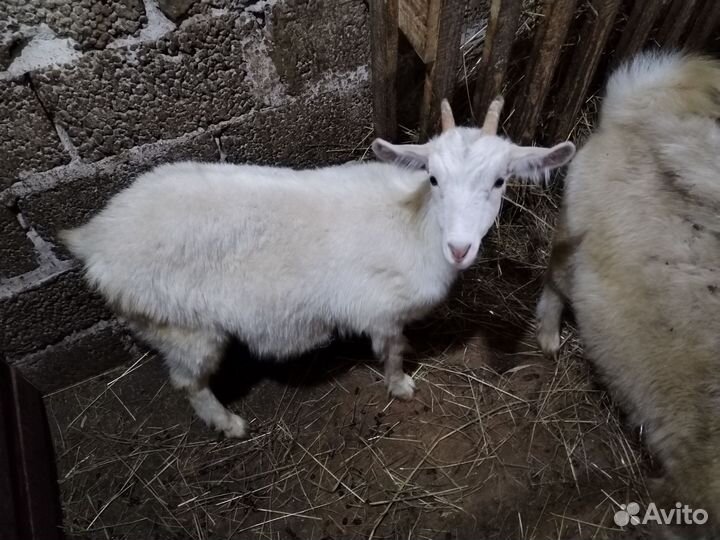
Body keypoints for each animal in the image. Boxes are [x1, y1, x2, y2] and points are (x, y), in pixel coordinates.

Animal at [62, 98, 575, 438]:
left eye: (500, 181)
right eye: (433, 178)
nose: (460, 248)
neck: (415, 223)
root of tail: (96, 238)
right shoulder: (382, 312)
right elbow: (392, 352)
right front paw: (401, 387)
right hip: (182, 328)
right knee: (188, 382)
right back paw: (229, 423)